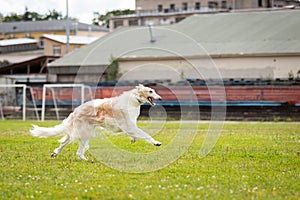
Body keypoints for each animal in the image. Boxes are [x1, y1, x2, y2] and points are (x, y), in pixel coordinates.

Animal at [30, 84, 162, 161]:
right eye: (150, 91)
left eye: (154, 91)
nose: (160, 98)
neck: (134, 99)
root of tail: (75, 112)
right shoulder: (128, 125)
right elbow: (146, 135)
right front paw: (156, 142)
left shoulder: (130, 126)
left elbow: (136, 135)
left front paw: (133, 139)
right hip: (84, 133)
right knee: (78, 152)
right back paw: (85, 159)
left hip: (83, 133)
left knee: (65, 144)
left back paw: (56, 153)